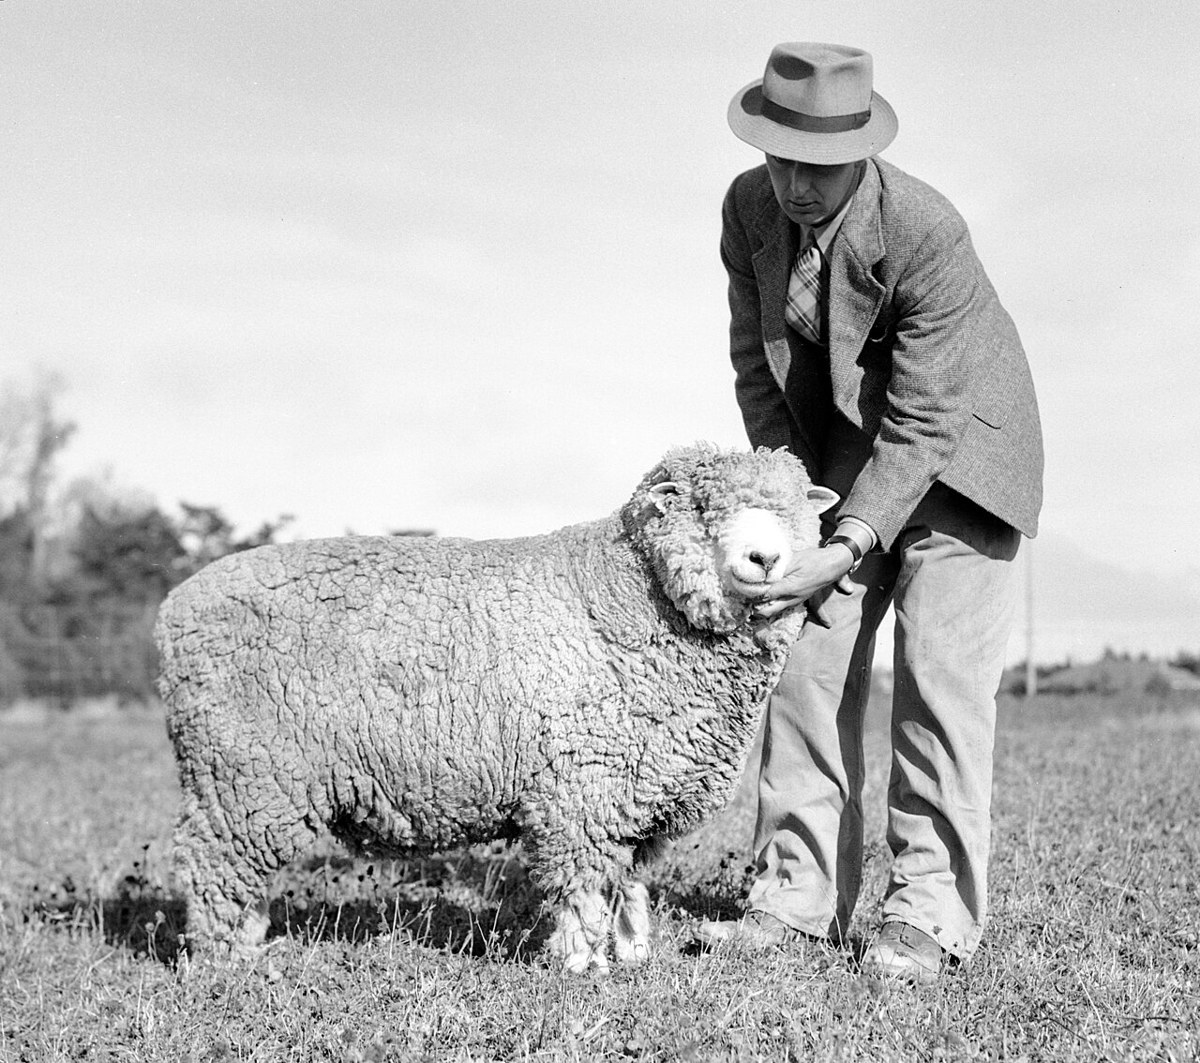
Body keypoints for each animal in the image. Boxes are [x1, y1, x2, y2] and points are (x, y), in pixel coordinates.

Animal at [156, 442, 837, 972]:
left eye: (793, 509)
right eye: (700, 508)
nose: (765, 559)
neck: (630, 598)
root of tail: (173, 608)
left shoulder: (634, 791)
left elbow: (628, 884)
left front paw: (634, 954)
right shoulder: (579, 789)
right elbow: (583, 886)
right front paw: (581, 964)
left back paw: (251, 947)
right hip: (241, 771)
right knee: (213, 864)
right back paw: (229, 962)